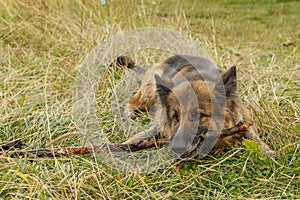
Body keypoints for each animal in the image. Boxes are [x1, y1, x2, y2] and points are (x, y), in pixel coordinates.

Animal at [116, 54, 274, 158]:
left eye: (199, 115)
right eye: (174, 117)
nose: (176, 148)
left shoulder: (244, 116)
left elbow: (251, 133)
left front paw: (266, 151)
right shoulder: (160, 123)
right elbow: (142, 136)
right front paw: (123, 147)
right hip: (150, 91)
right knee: (130, 103)